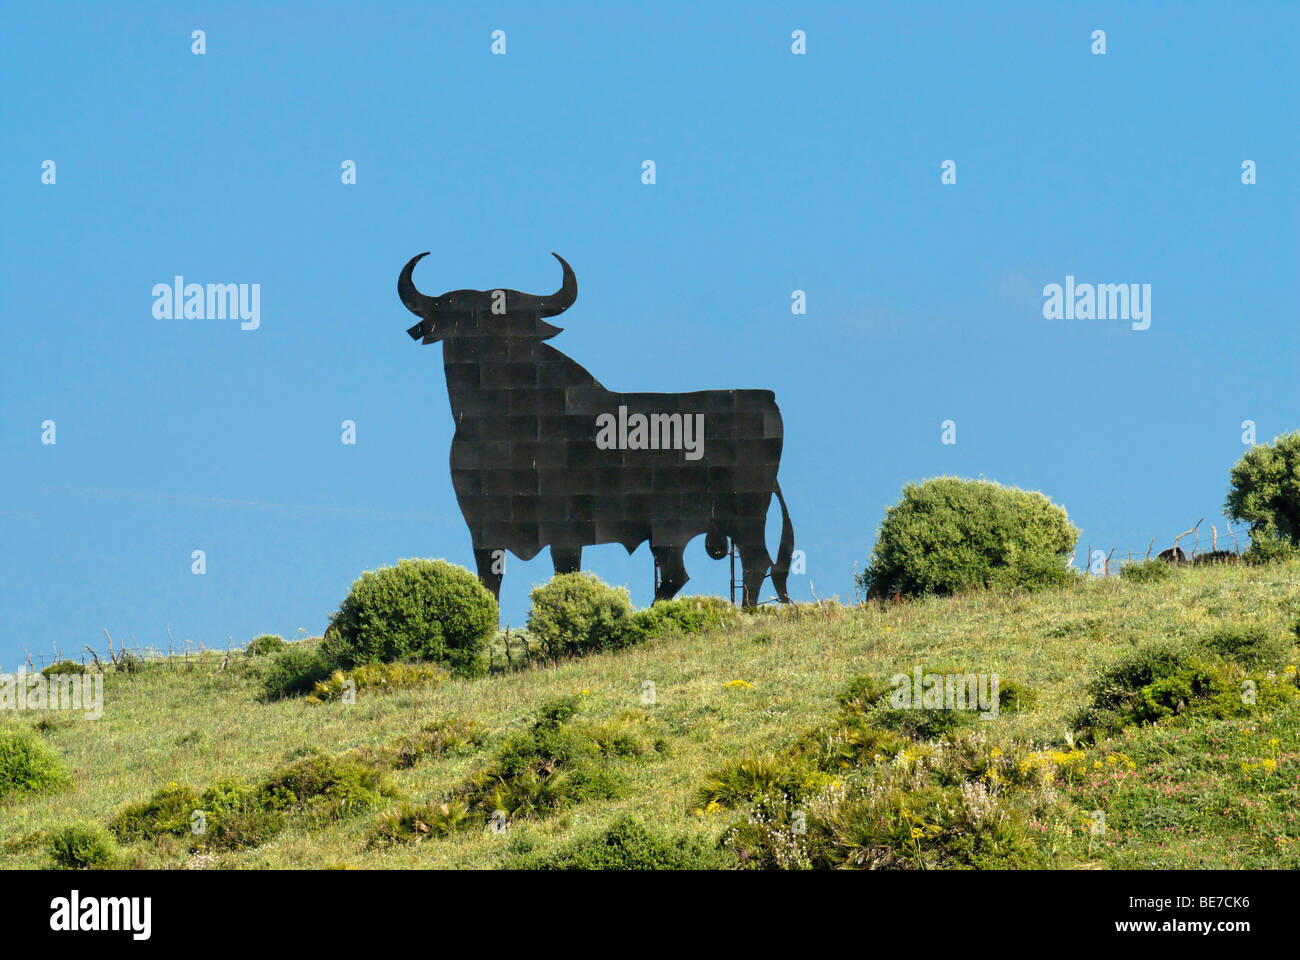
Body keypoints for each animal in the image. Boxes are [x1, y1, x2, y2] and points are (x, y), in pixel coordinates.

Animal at [398, 251, 795, 607]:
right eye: (463, 322)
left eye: (515, 327)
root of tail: (767, 398)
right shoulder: (482, 529)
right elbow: (488, 585)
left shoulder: (566, 528)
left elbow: (564, 575)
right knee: (679, 573)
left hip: (744, 512)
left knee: (753, 562)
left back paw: (744, 612)